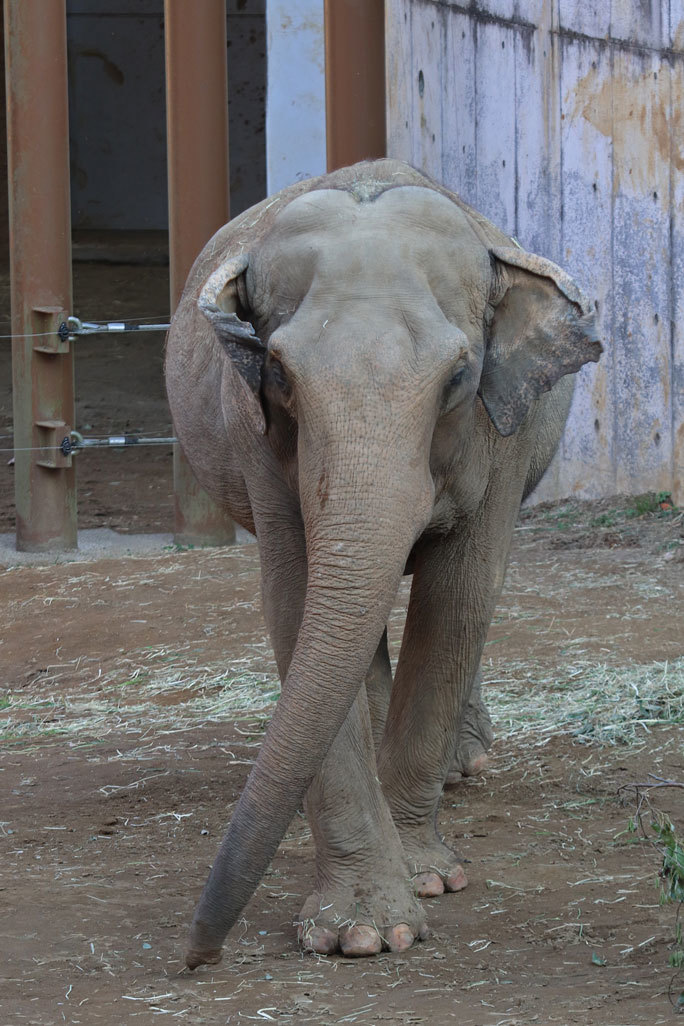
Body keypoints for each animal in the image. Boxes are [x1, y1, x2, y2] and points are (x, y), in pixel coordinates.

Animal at [164, 155, 598, 964]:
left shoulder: (503, 434)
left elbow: (458, 596)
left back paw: (466, 765)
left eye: (458, 378)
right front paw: (363, 933)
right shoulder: (257, 438)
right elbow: (300, 606)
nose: (195, 956)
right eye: (279, 374)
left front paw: (428, 878)